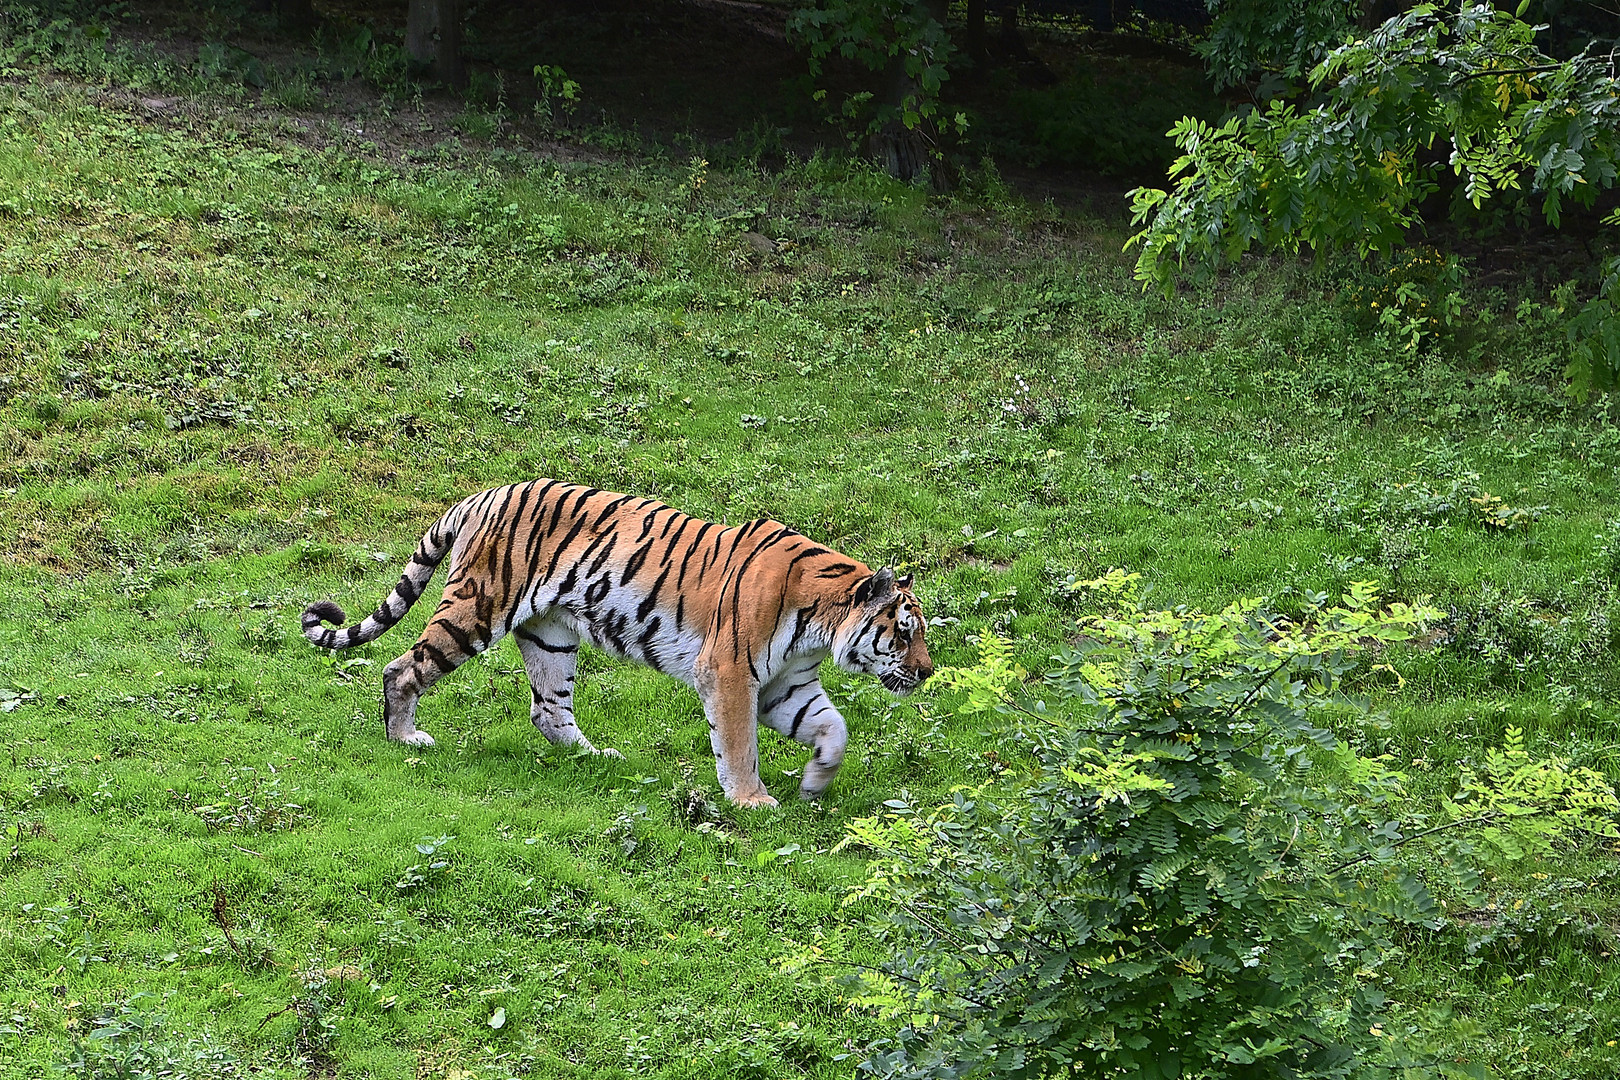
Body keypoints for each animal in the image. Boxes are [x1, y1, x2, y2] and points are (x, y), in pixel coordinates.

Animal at [304, 476, 939, 806]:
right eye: (905, 632)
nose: (929, 672)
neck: (820, 626)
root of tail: (483, 494)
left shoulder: (787, 684)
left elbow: (835, 728)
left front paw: (815, 780)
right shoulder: (731, 672)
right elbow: (739, 745)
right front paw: (751, 799)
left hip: (552, 637)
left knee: (548, 710)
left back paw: (597, 758)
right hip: (476, 612)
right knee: (402, 668)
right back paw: (405, 738)